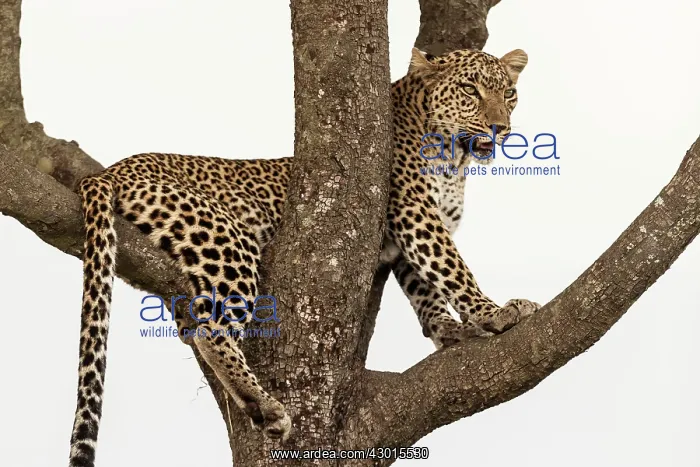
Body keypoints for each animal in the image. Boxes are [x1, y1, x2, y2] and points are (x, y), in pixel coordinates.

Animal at [68, 46, 539, 467]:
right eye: (470, 90)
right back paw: (264, 406)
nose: (499, 128)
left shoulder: (409, 239)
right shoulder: (414, 214)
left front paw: (450, 330)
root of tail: (111, 170)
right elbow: (452, 269)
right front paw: (496, 312)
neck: (454, 159)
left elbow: (426, 288)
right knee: (211, 330)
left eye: (508, 94)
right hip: (226, 239)